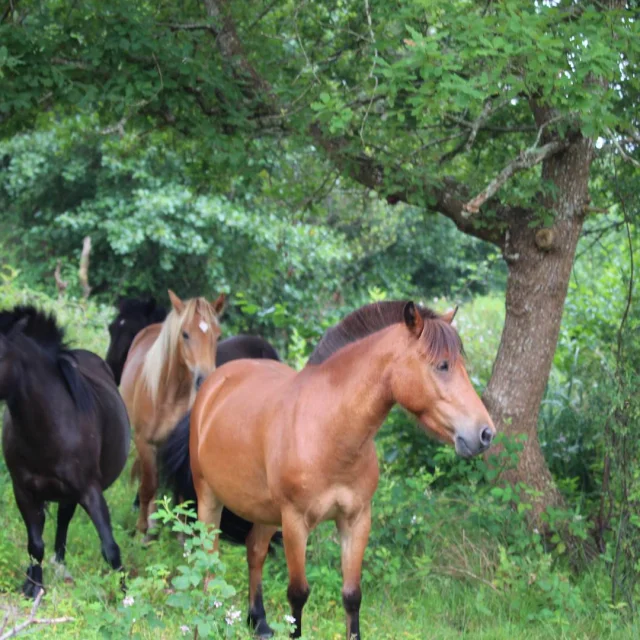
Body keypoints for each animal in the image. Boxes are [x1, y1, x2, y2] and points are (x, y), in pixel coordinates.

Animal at [0, 304, 130, 596]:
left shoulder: (89, 490)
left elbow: (110, 547)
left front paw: (126, 594)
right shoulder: (23, 491)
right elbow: (35, 544)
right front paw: (33, 587)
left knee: (64, 519)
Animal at [120, 288, 225, 532]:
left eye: (217, 336)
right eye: (185, 334)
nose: (205, 379)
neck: (169, 397)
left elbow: (181, 496)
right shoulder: (145, 443)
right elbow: (148, 486)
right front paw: (142, 530)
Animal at [175, 302, 496, 640]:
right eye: (442, 366)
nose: (485, 433)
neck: (330, 431)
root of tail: (214, 384)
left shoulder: (356, 520)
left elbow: (352, 595)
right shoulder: (295, 523)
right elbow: (298, 594)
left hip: (264, 511)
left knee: (255, 551)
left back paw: (259, 622)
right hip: (209, 497)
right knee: (207, 557)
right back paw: (205, 620)